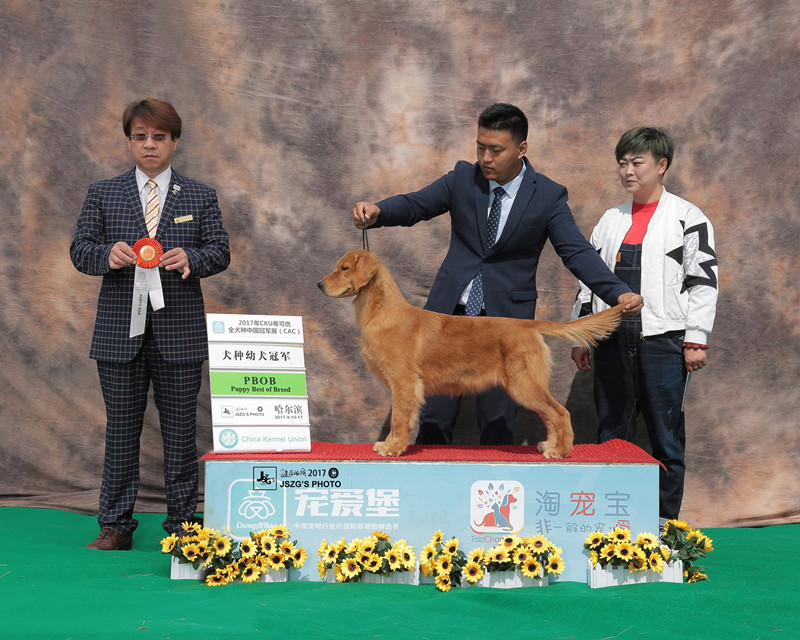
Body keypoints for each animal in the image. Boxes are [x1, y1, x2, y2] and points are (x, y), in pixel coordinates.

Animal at [318, 250, 624, 459]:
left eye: (343, 268)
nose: (319, 285)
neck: (382, 312)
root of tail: (529, 325)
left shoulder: (404, 382)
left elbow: (399, 419)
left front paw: (393, 448)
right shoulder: (402, 385)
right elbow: (399, 419)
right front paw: (388, 443)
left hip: (524, 383)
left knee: (560, 413)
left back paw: (561, 451)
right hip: (526, 385)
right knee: (550, 415)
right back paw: (550, 445)